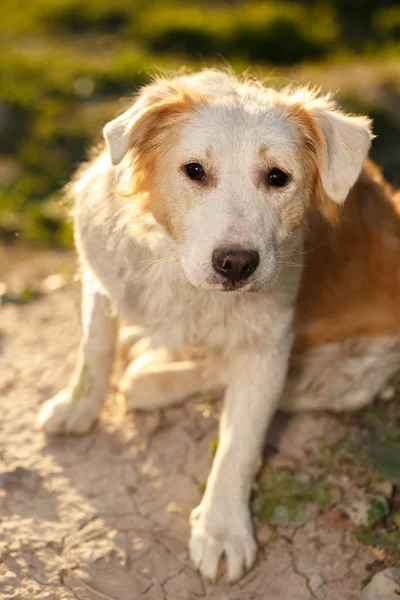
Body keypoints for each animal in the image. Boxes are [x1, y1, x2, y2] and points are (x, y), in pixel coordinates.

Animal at [36, 69, 400, 580]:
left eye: (277, 177)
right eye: (194, 171)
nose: (236, 264)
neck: (177, 271)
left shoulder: (268, 346)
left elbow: (239, 444)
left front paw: (222, 530)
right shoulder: (101, 274)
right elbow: (94, 348)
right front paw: (77, 406)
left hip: (351, 375)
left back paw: (151, 375)